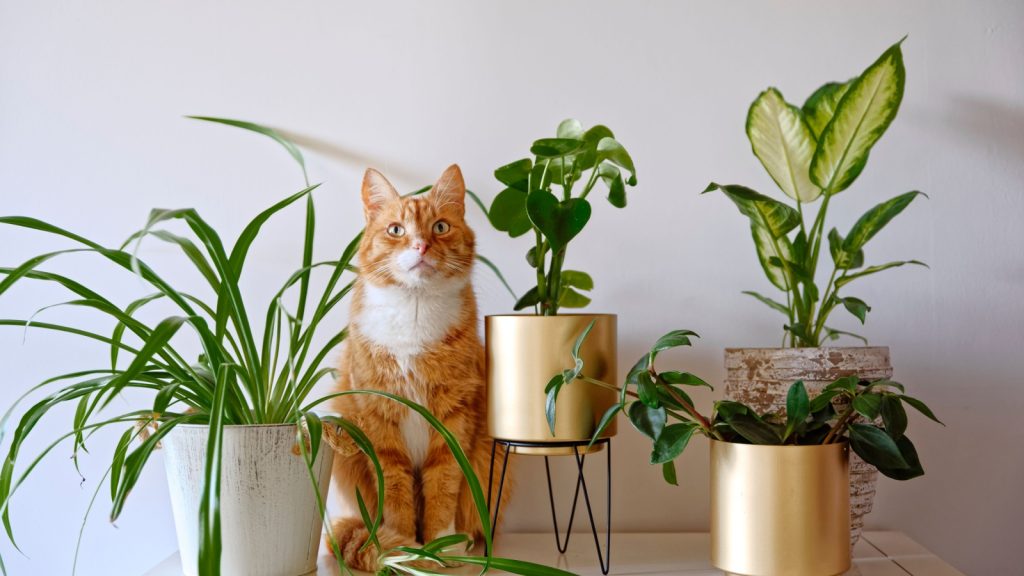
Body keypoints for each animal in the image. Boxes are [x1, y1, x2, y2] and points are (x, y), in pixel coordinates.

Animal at [329, 163, 505, 565]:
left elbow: (444, 482)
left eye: (440, 227)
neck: (414, 309)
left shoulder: (454, 416)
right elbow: (394, 489)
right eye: (396, 229)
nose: (421, 246)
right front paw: (402, 546)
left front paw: (442, 544)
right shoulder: (379, 417)